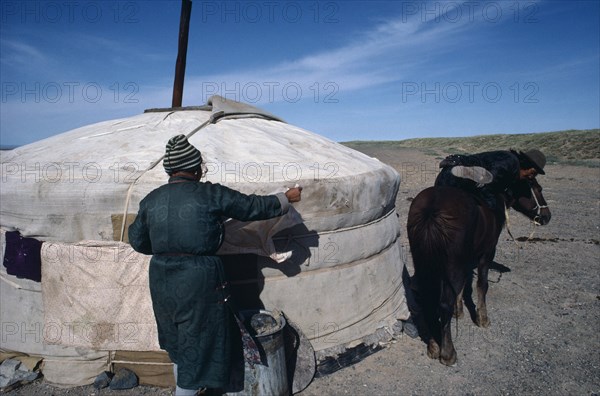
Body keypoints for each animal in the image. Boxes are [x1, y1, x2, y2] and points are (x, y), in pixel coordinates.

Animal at [406, 178, 552, 366]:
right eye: (538, 189)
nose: (547, 216)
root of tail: (431, 210)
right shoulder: (487, 253)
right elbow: (482, 284)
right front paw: (482, 318)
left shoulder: (466, 260)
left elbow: (462, 286)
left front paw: (459, 311)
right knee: (443, 305)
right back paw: (448, 353)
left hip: (425, 264)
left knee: (428, 299)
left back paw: (433, 346)